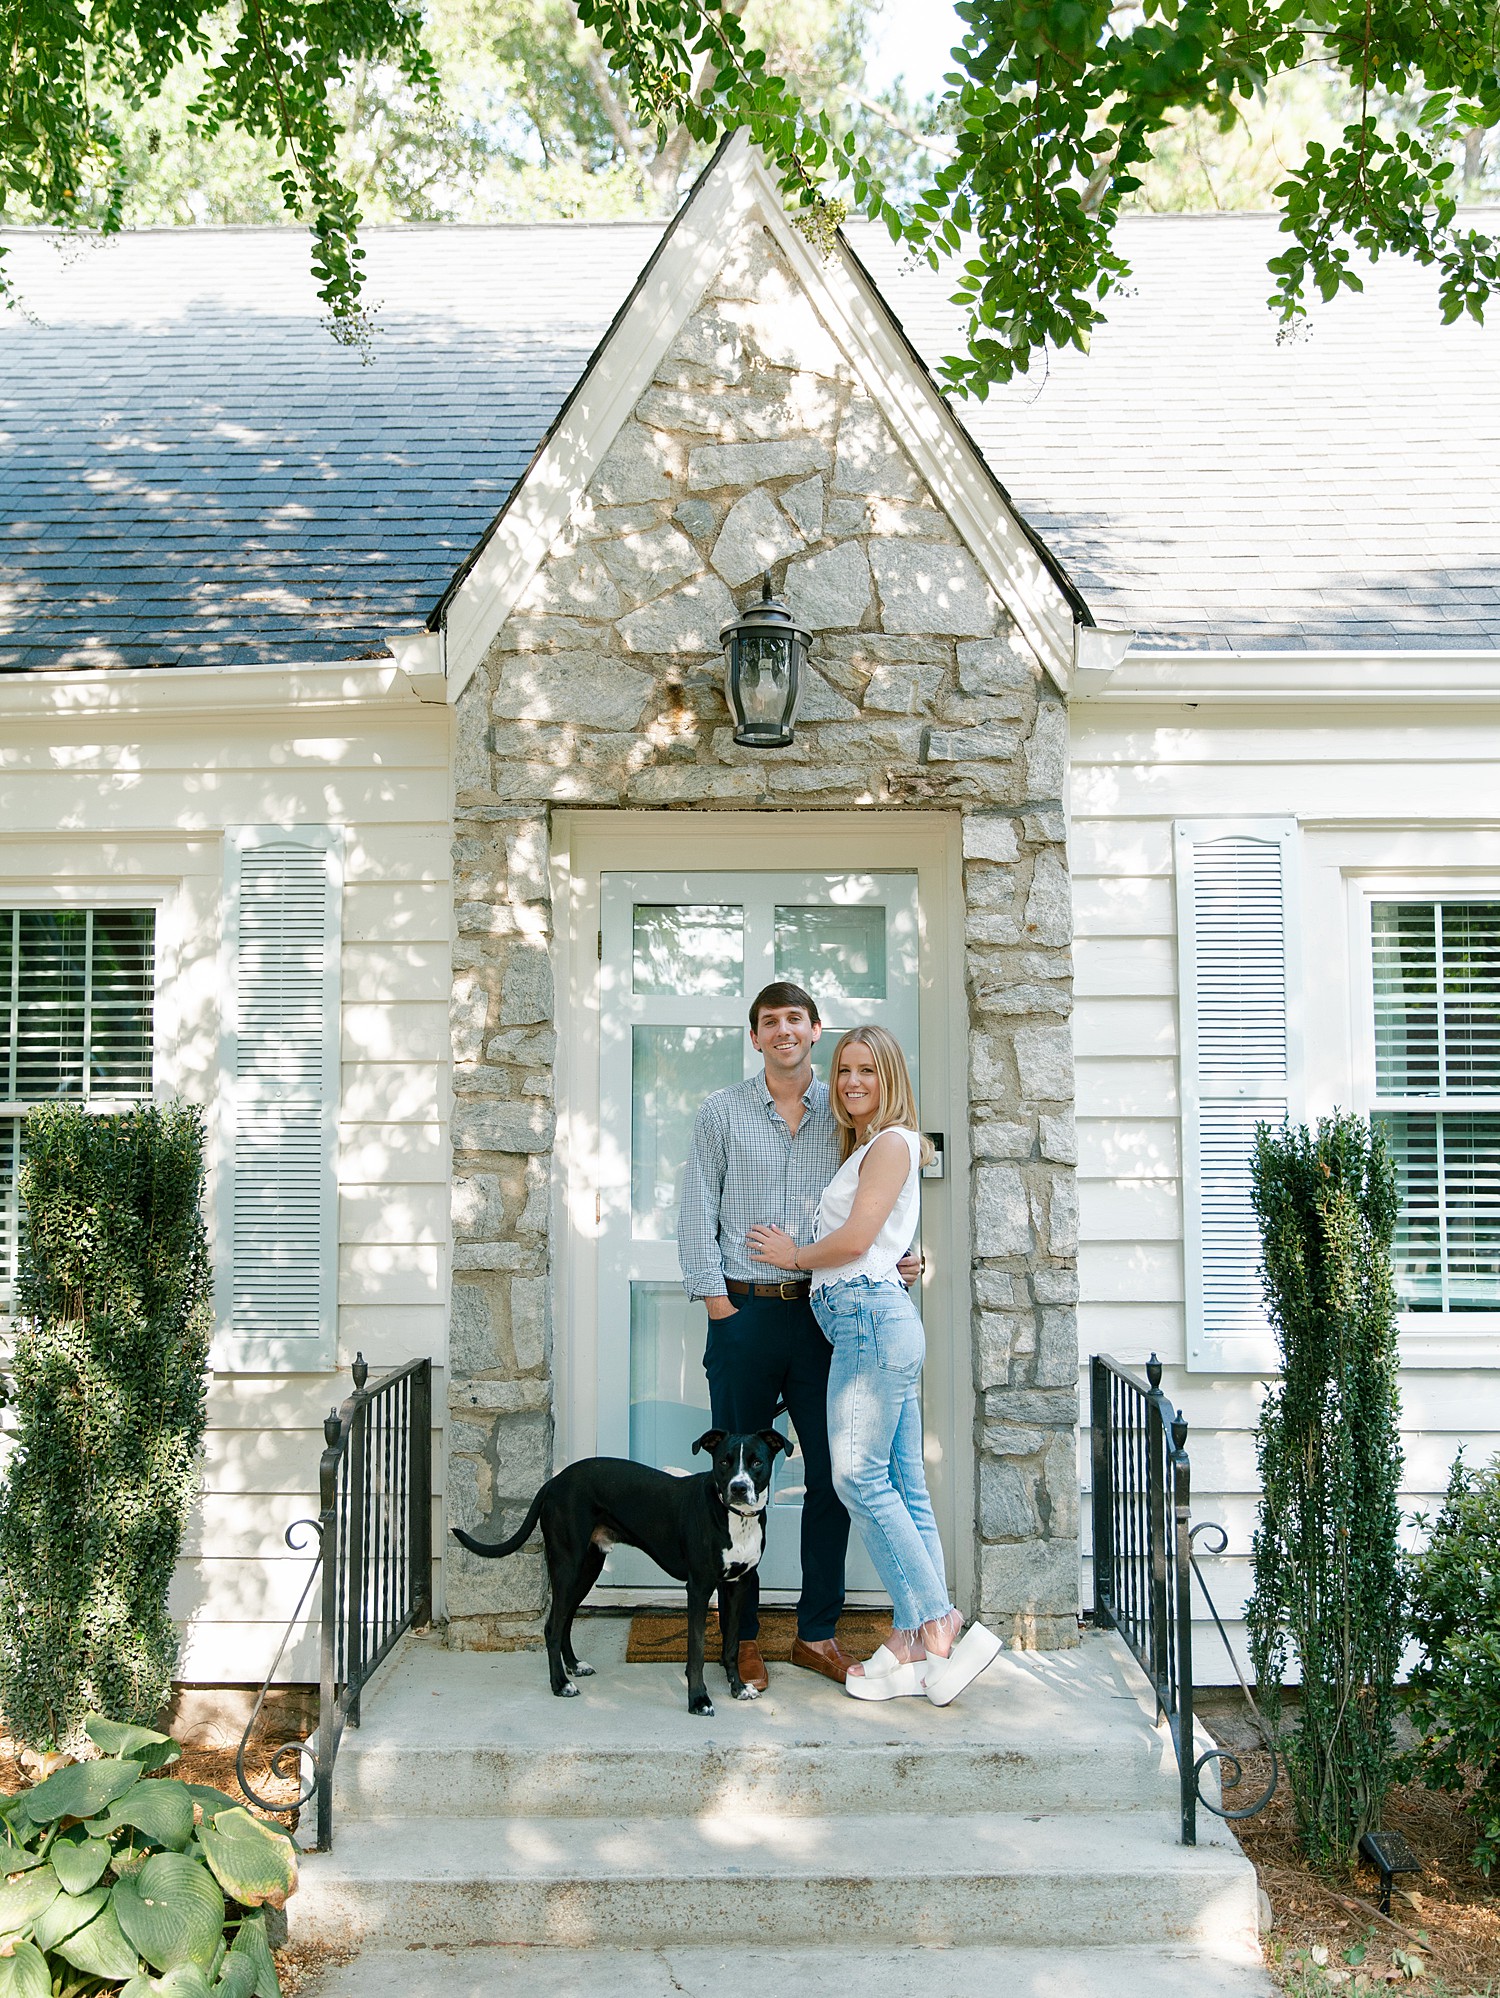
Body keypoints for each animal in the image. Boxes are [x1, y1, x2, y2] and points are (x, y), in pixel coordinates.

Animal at [449, 1422, 790, 1718]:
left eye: (757, 1462)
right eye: (723, 1462)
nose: (738, 1488)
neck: (734, 1518)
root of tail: (553, 1482)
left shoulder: (738, 1585)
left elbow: (731, 1644)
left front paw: (738, 1687)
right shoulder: (699, 1588)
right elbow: (696, 1651)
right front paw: (698, 1700)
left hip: (587, 1567)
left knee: (565, 1620)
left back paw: (574, 1665)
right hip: (567, 1565)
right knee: (552, 1627)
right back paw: (560, 1684)